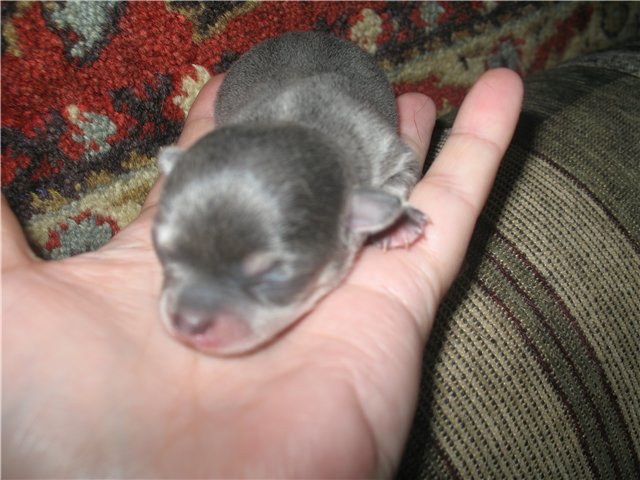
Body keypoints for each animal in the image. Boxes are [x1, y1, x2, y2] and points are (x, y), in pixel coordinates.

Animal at [153, 32, 426, 355]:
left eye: (275, 275)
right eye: (163, 250)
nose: (187, 324)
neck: (302, 122)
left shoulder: (388, 149)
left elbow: (399, 180)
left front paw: (399, 223)